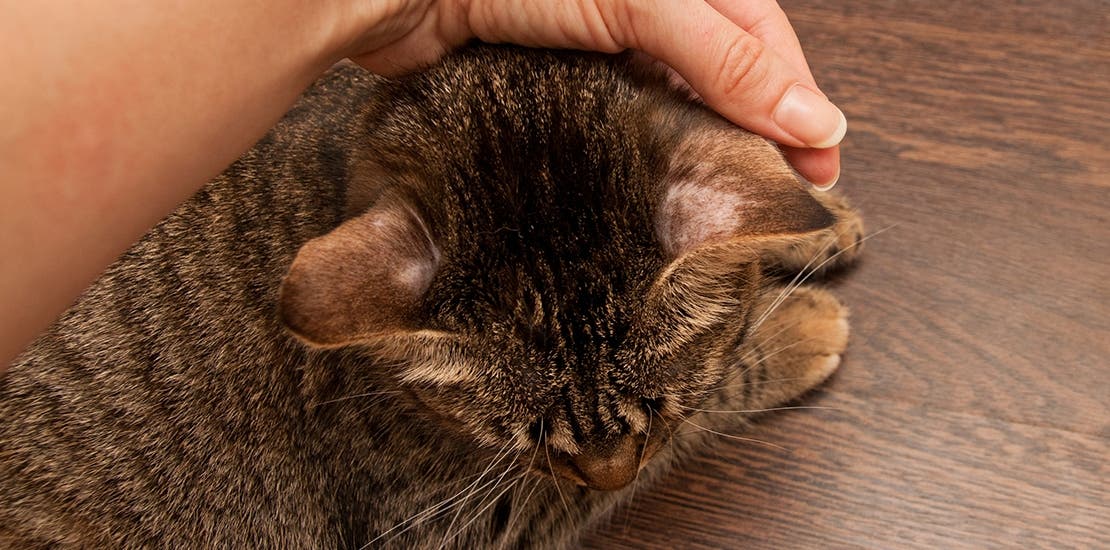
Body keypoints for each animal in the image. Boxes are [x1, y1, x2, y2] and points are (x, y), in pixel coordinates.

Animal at [0, 45, 861, 548]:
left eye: (656, 405)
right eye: (522, 438)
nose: (610, 475)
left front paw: (823, 212)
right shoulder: (443, 520)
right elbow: (718, 393)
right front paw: (797, 323)